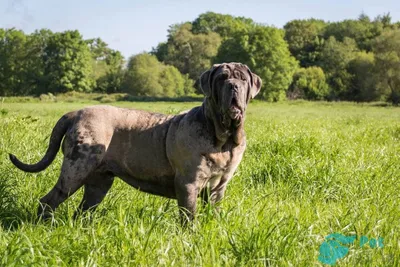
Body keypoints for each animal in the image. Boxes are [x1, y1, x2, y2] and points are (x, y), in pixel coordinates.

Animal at [9, 62, 262, 222]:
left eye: (242, 79)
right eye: (221, 78)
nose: (233, 86)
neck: (222, 138)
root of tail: (75, 112)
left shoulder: (218, 188)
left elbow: (214, 213)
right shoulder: (188, 184)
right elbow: (189, 217)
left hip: (99, 182)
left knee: (82, 210)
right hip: (75, 170)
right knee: (49, 200)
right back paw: (45, 225)